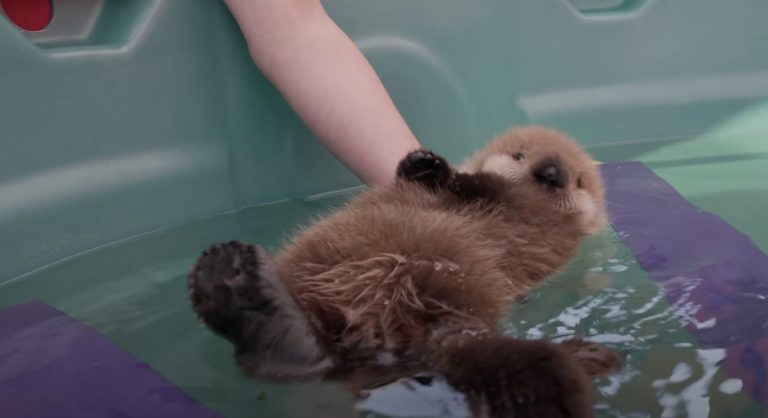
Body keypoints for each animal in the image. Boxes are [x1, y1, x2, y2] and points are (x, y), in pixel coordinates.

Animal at [188, 126, 622, 417]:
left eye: (579, 180)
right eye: (519, 155)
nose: (550, 173)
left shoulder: (541, 223)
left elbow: (490, 189)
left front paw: (451, 174)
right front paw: (421, 164)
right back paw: (239, 292)